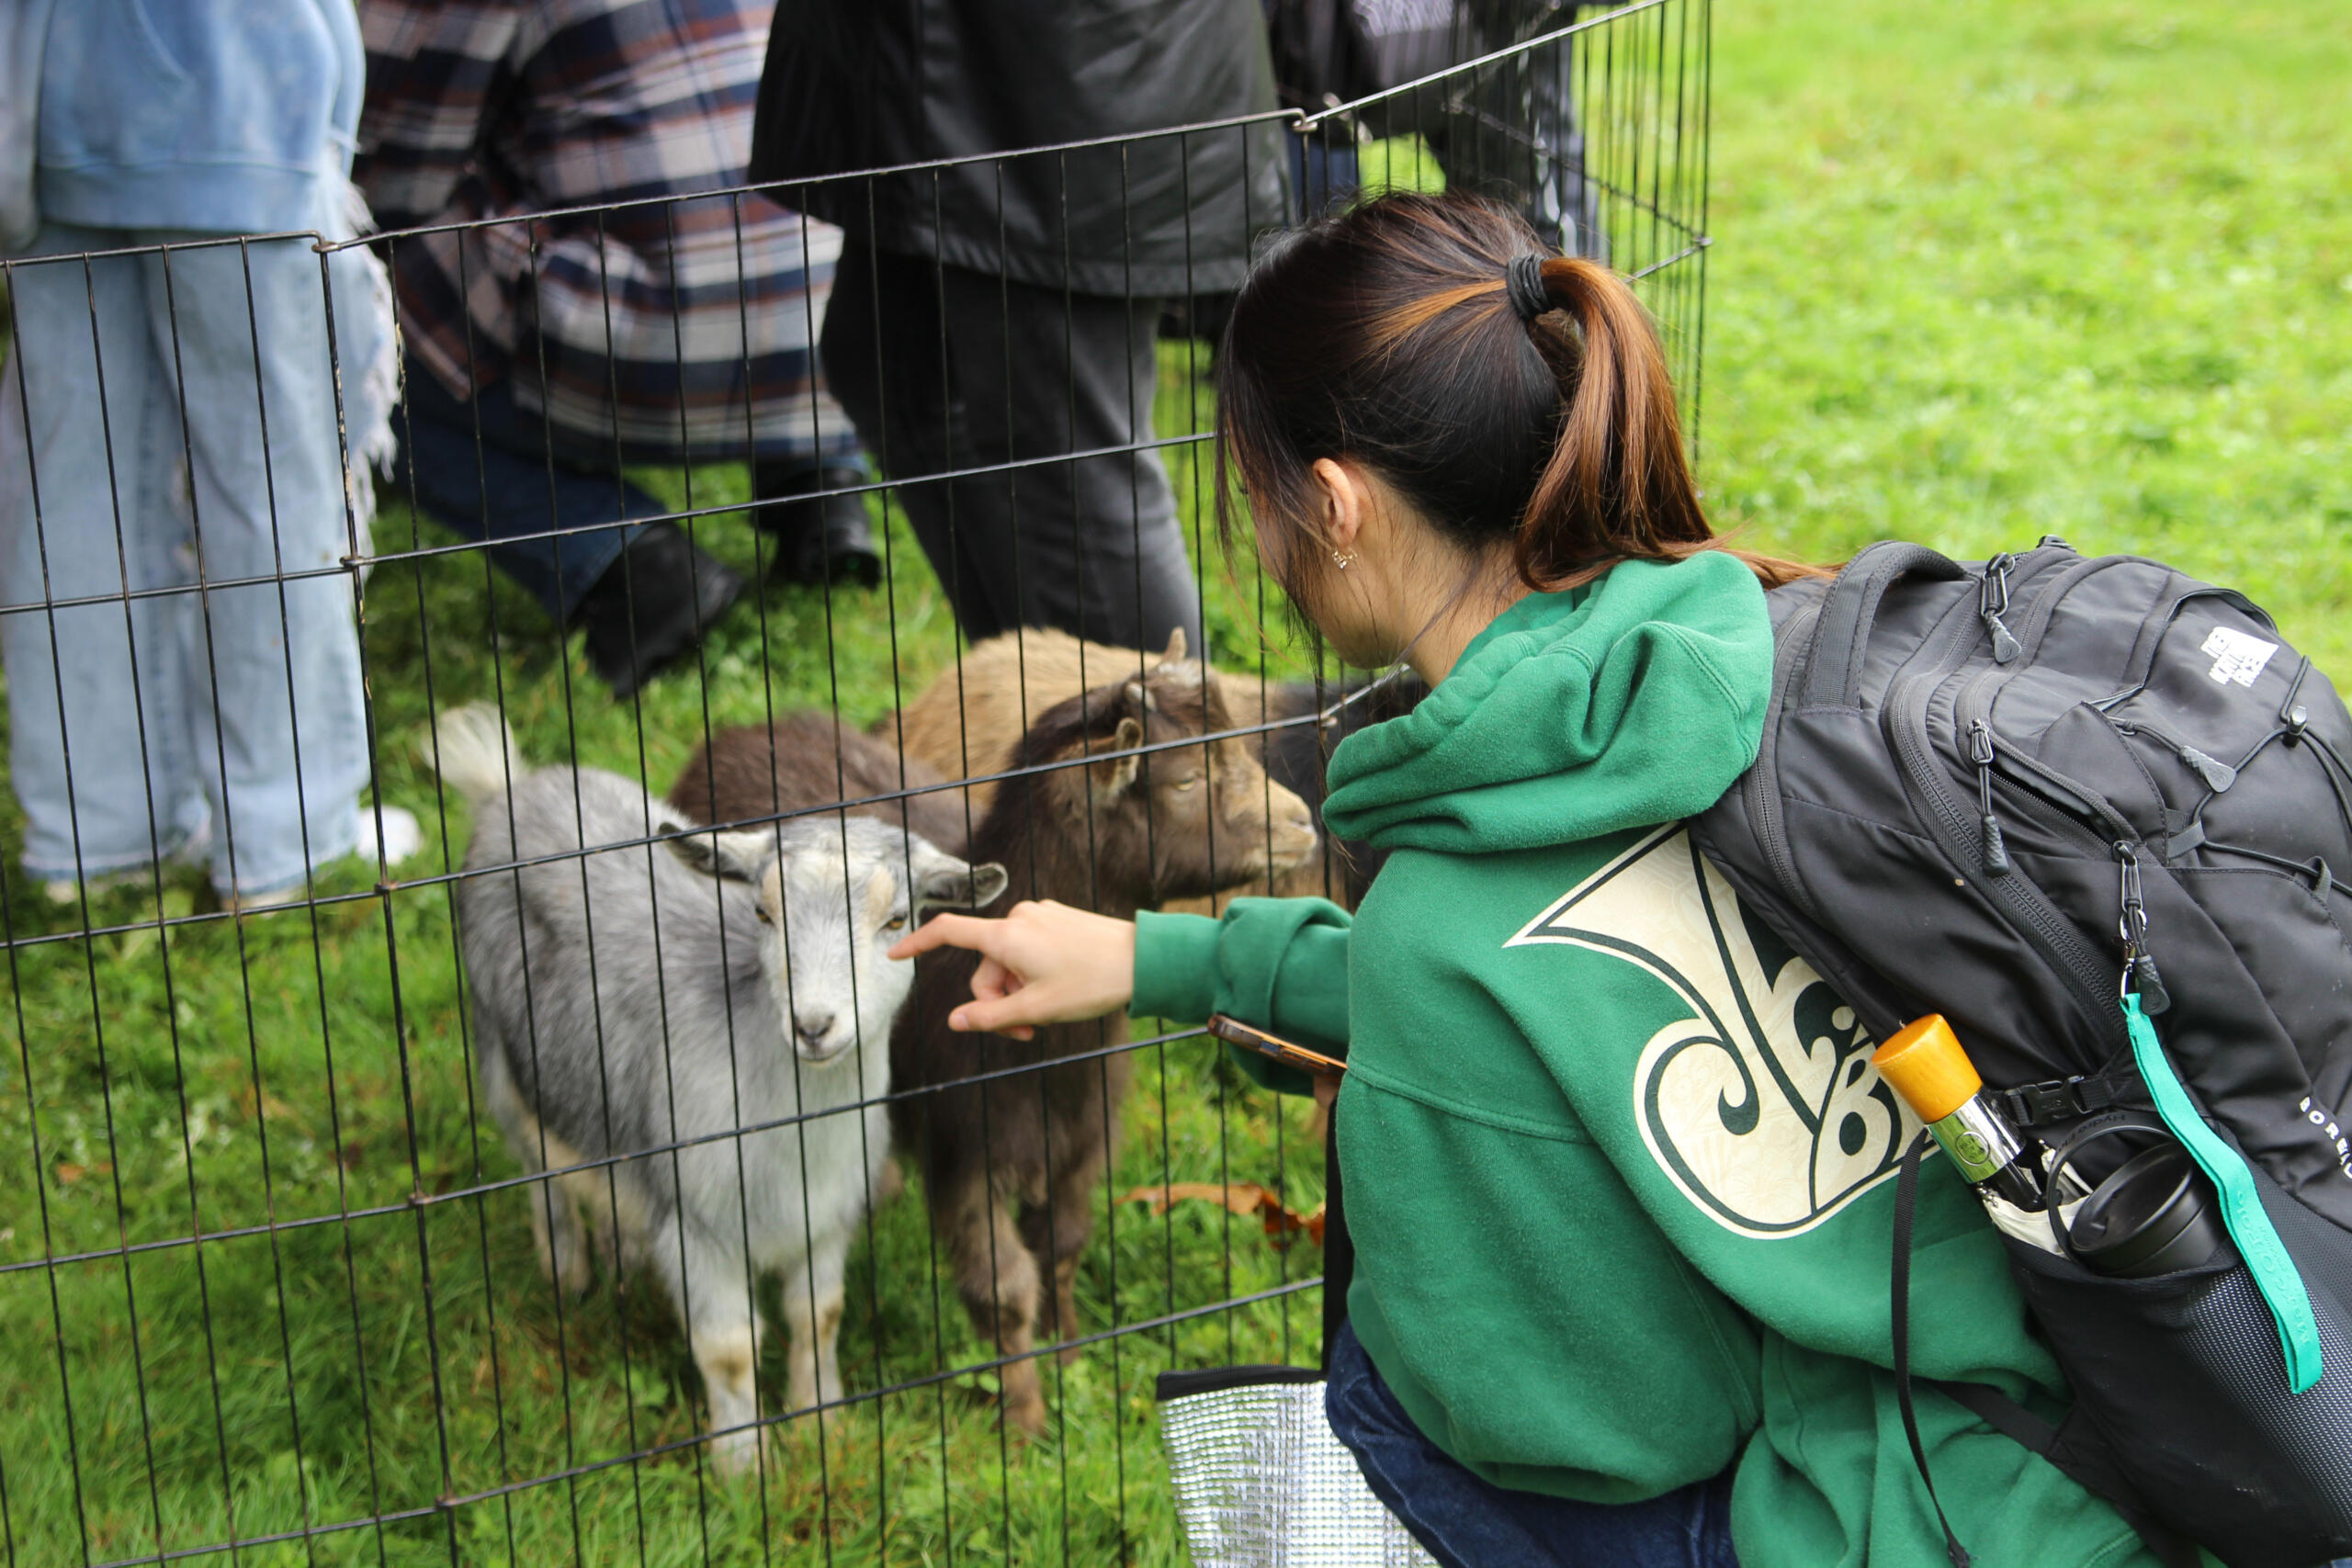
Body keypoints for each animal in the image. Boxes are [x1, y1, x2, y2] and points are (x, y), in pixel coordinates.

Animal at [437, 709, 1006, 1476]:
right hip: (501, 1059)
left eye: (898, 919)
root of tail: (512, 789)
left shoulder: (825, 1218)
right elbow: (731, 1350)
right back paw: (569, 1272)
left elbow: (818, 1316)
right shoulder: (697, 1226)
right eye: (762, 912)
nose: (814, 1025)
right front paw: (745, 1470)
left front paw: (824, 1425)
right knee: (538, 1166)